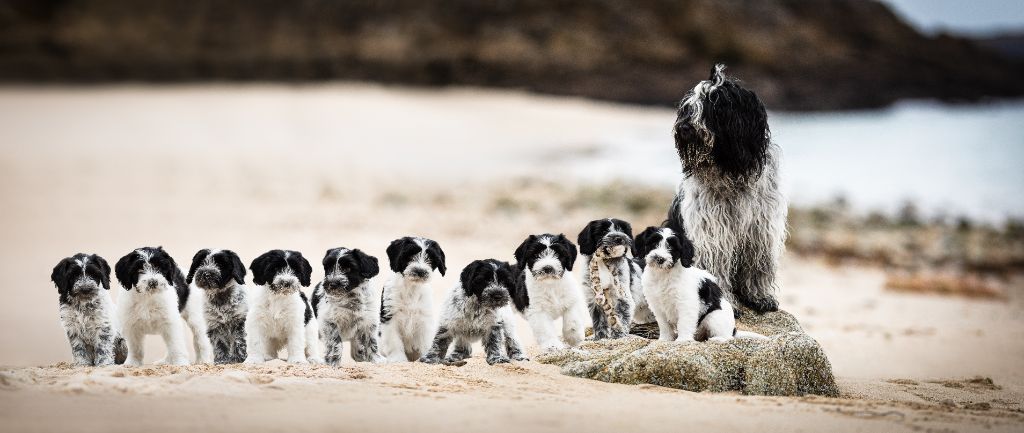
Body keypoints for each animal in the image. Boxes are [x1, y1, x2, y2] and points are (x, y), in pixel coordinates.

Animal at [630, 227, 770, 341]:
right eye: (653, 243)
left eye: (672, 247)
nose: (659, 259)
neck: (663, 275)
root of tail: (733, 330)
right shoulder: (657, 306)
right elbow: (664, 325)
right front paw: (665, 340)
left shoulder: (686, 305)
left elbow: (684, 323)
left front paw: (683, 341)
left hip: (714, 318)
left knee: (727, 337)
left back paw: (717, 339)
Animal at [667, 64, 786, 313]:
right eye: (688, 107)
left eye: (714, 105)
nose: (683, 127)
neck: (730, 172)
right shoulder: (712, 233)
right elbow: (716, 268)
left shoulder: (760, 231)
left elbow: (757, 267)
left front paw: (760, 297)